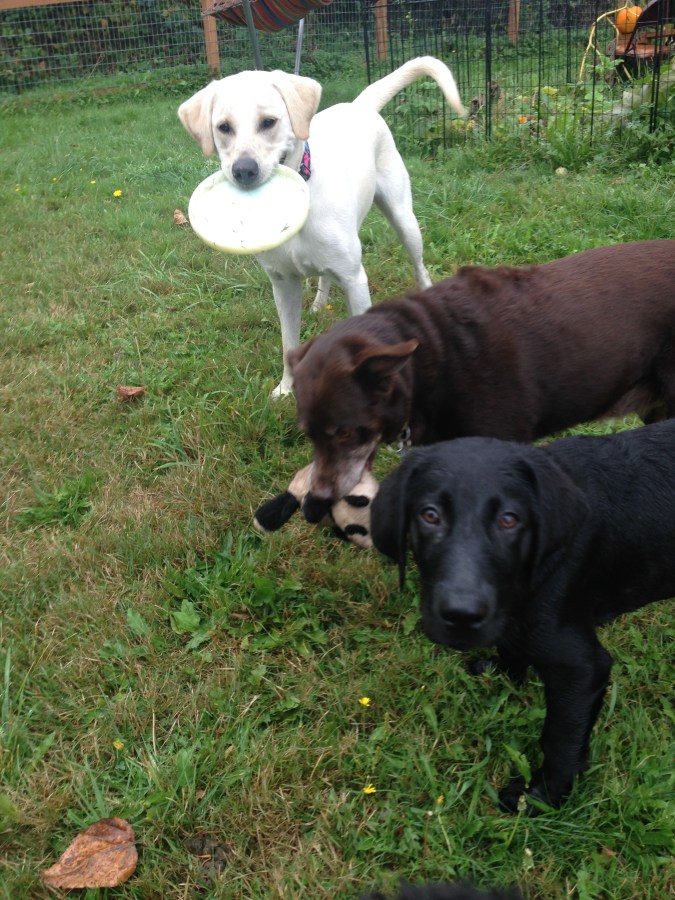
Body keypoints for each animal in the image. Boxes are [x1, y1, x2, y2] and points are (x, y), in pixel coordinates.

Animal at [178, 58, 465, 396]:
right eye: (223, 127)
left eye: (269, 122)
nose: (243, 170)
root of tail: (358, 105)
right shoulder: (283, 285)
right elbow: (289, 344)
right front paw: (286, 389)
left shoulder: (355, 280)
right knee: (325, 276)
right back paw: (319, 303)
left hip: (403, 219)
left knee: (419, 265)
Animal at [369, 419, 675, 813]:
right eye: (430, 515)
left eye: (509, 520)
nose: (462, 616)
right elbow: (510, 644)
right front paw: (502, 671)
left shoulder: (581, 667)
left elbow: (561, 739)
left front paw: (541, 797)